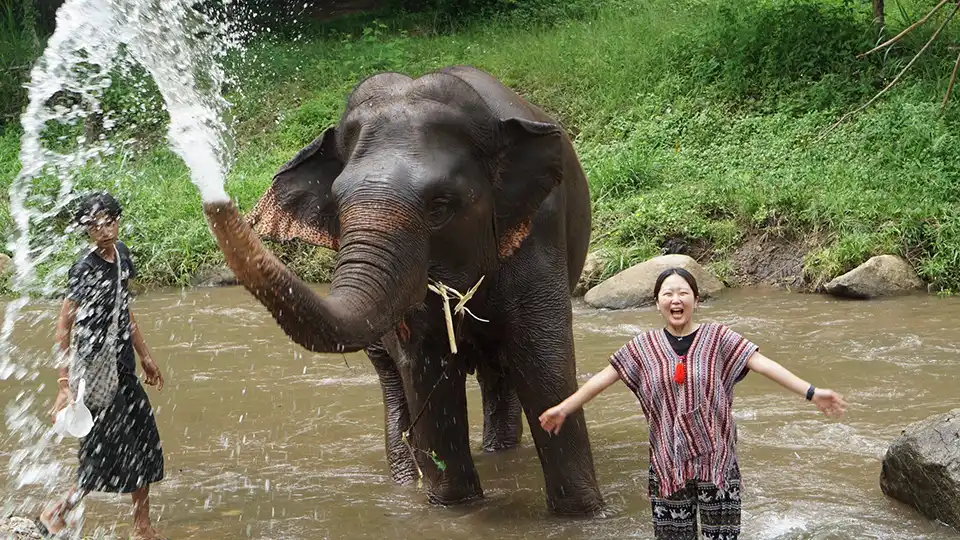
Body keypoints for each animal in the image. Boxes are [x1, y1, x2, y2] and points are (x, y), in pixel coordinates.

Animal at [201, 65, 604, 515]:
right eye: (336, 205)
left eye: (440, 206)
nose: (218, 199)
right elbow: (424, 368)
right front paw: (455, 507)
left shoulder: (540, 228)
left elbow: (542, 360)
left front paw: (582, 513)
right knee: (396, 384)